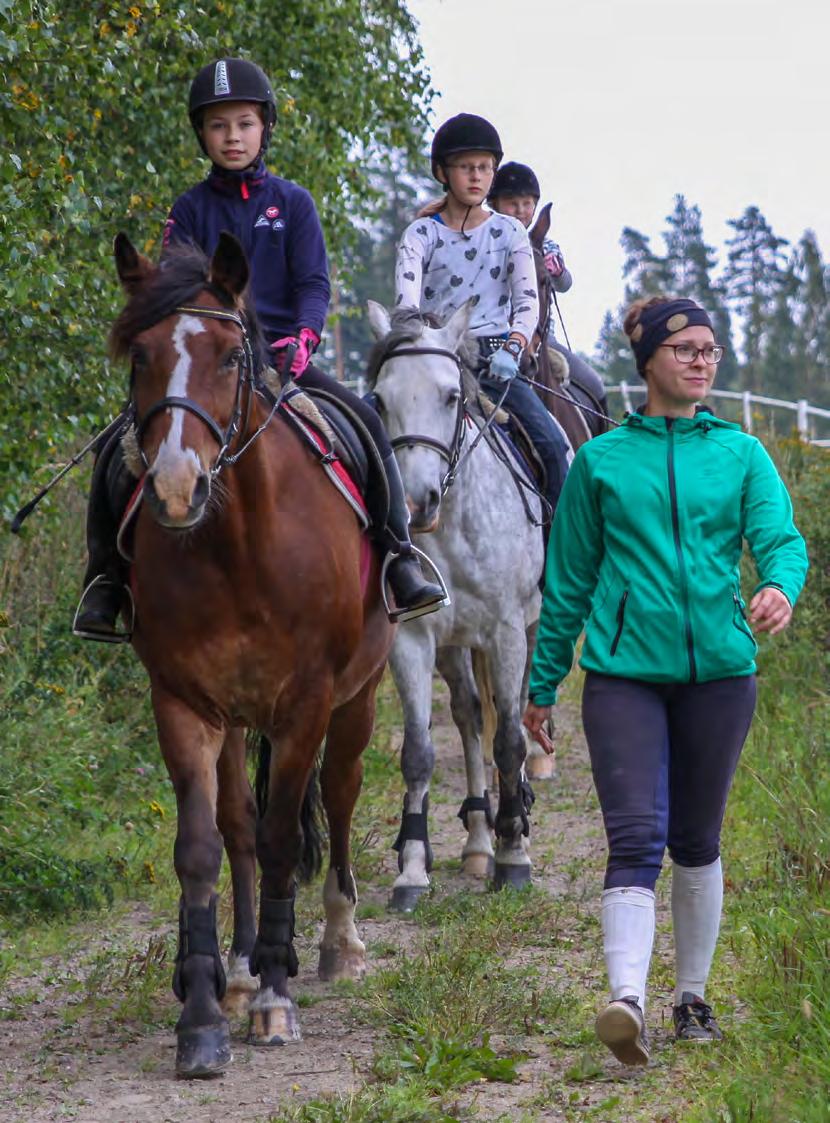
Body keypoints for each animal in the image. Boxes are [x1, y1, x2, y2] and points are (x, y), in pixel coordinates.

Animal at [109, 230, 393, 1078]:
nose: (176, 488)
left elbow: (280, 836)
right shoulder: (183, 702)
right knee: (237, 821)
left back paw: (336, 943)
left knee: (336, 795)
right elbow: (205, 845)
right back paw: (236, 970)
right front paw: (205, 1015)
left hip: (358, 698)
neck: (235, 546)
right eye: (139, 355)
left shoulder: (306, 702)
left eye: (233, 355)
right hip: (236, 715)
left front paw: (275, 997)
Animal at [366, 303, 548, 907]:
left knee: (513, 717)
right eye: (379, 399)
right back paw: (476, 839)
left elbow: (510, 741)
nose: (416, 503)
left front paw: (514, 858)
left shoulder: (508, 632)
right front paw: (411, 869)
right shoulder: (413, 638)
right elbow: (418, 752)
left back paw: (511, 828)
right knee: (469, 715)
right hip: (453, 646)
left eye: (450, 395)